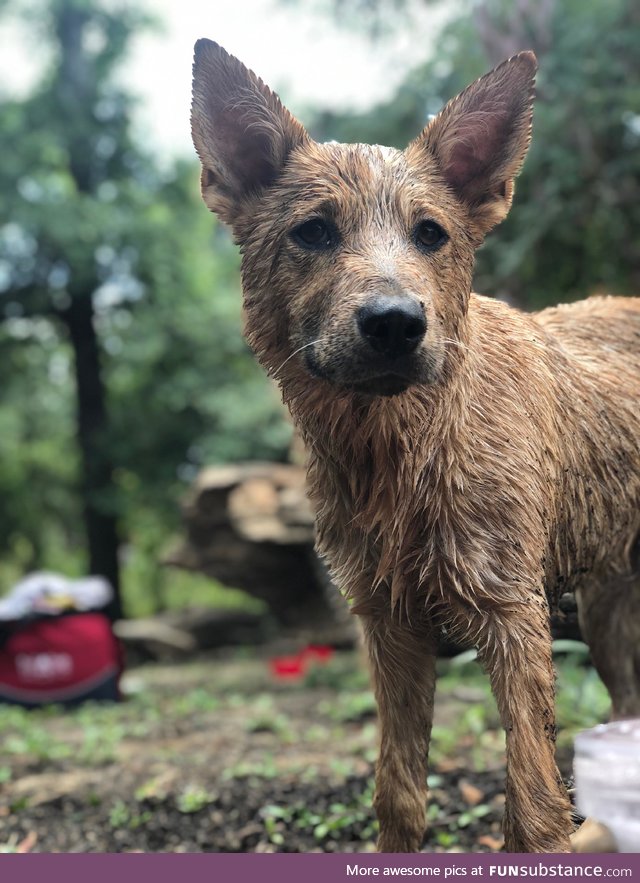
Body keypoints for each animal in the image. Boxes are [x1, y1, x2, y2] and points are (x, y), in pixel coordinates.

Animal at [191, 45, 640, 852]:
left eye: (431, 233)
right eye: (313, 231)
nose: (396, 323)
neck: (404, 452)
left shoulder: (512, 615)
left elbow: (534, 809)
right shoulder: (389, 622)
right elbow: (399, 795)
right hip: (607, 601)